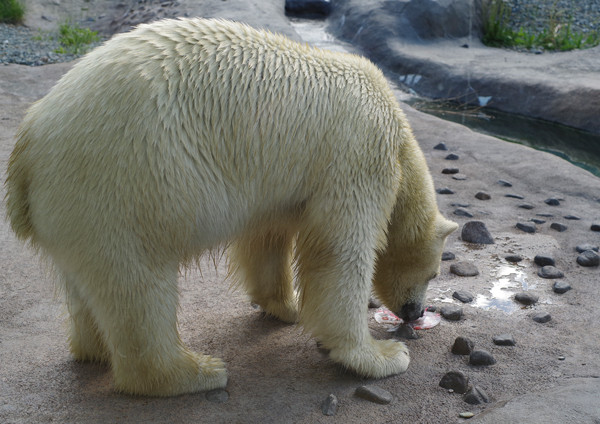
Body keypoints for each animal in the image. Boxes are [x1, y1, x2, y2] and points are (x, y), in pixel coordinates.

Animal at [4, 16, 458, 394]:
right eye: (434, 272)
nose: (415, 312)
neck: (400, 139)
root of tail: (27, 145)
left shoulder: (283, 187)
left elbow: (266, 240)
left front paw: (288, 306)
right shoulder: (358, 154)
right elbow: (340, 250)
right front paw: (383, 356)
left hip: (75, 206)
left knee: (88, 285)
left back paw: (95, 350)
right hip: (123, 183)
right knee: (138, 282)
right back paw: (194, 372)